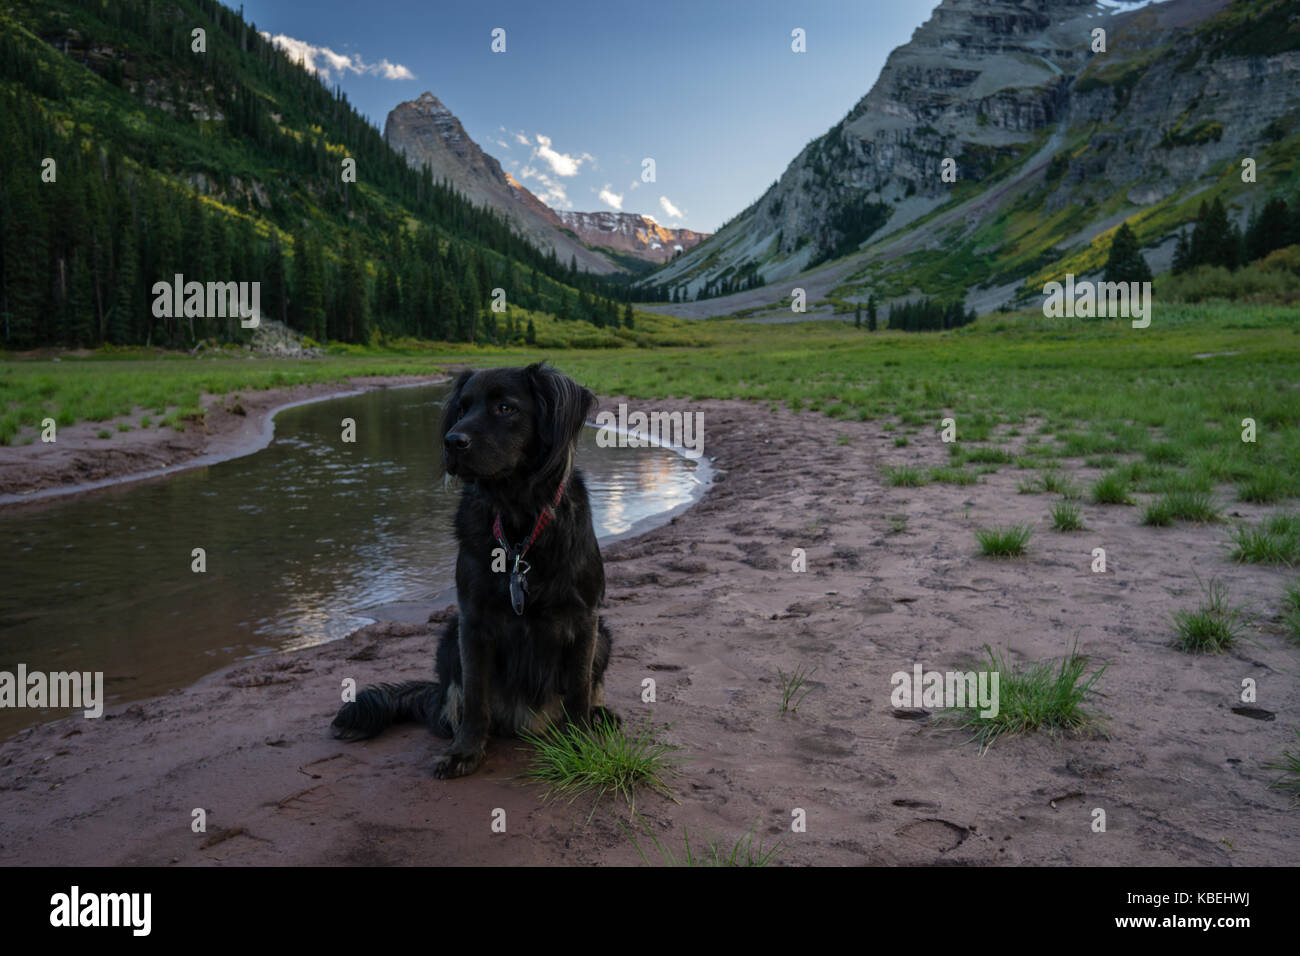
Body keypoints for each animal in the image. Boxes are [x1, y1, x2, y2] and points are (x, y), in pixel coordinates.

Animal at [335, 364, 618, 780]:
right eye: (462, 408)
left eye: (506, 407)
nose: (452, 442)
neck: (519, 528)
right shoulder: (472, 622)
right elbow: (474, 696)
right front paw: (465, 752)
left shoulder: (585, 618)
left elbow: (580, 688)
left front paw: (580, 743)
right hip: (448, 637)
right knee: (453, 704)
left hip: (605, 636)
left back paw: (598, 717)